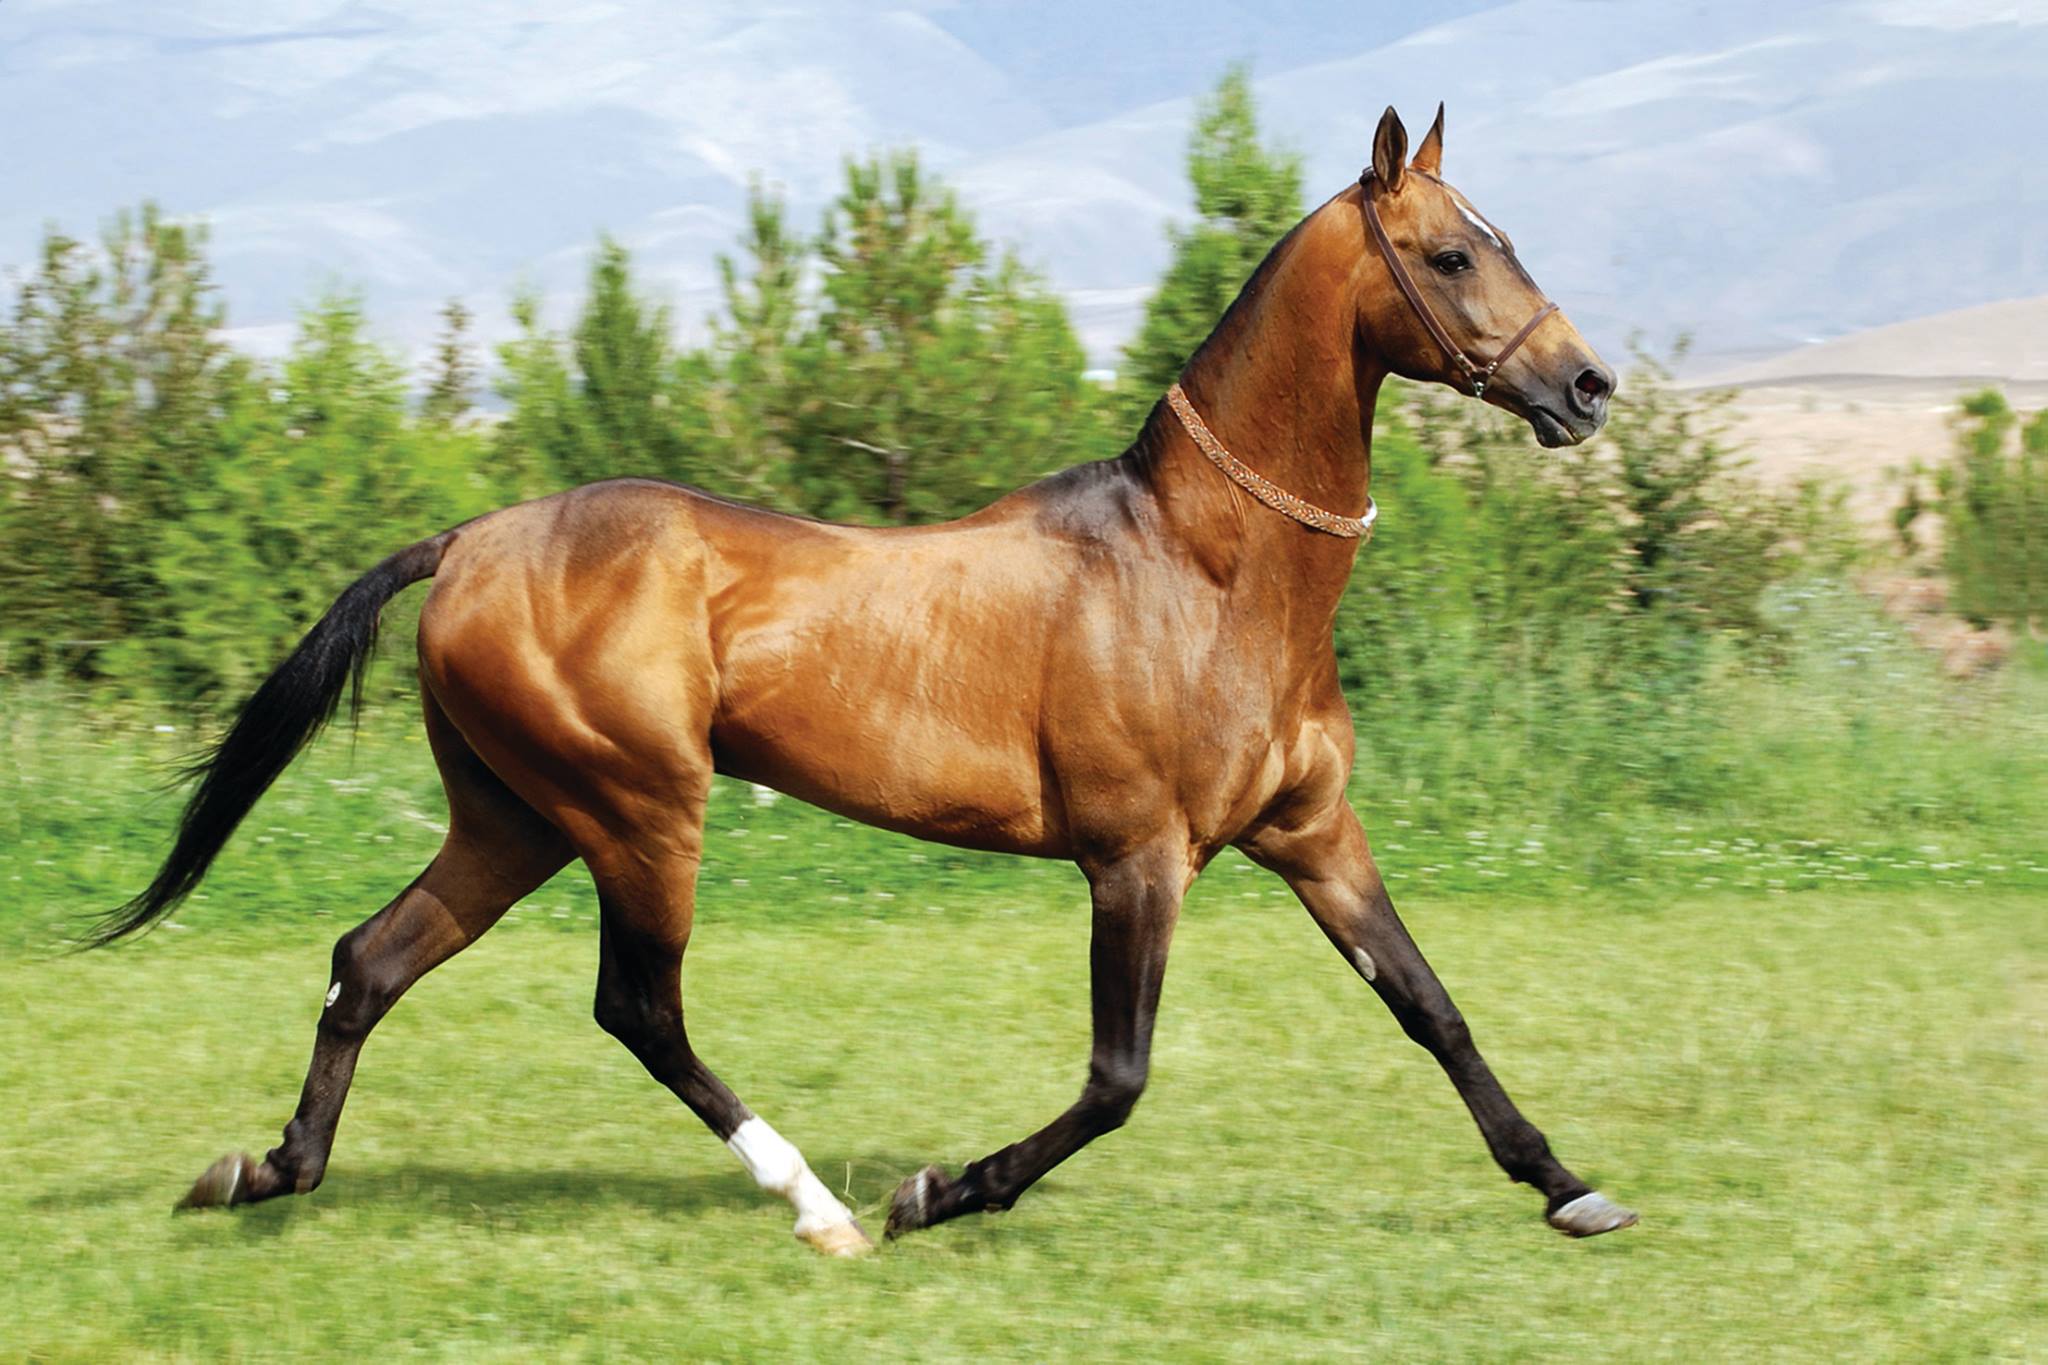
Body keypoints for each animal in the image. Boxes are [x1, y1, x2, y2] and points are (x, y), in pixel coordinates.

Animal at [96, 109, 1638, 1260]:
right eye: (1450, 254)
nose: (1587, 389)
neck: (1202, 572)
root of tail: (470, 539)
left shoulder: (1310, 834)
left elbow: (1431, 1007)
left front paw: (1571, 1187)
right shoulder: (1136, 857)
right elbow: (1118, 1078)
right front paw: (937, 1190)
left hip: (516, 817)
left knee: (373, 960)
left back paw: (263, 1171)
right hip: (638, 812)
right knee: (638, 1009)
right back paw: (817, 1207)